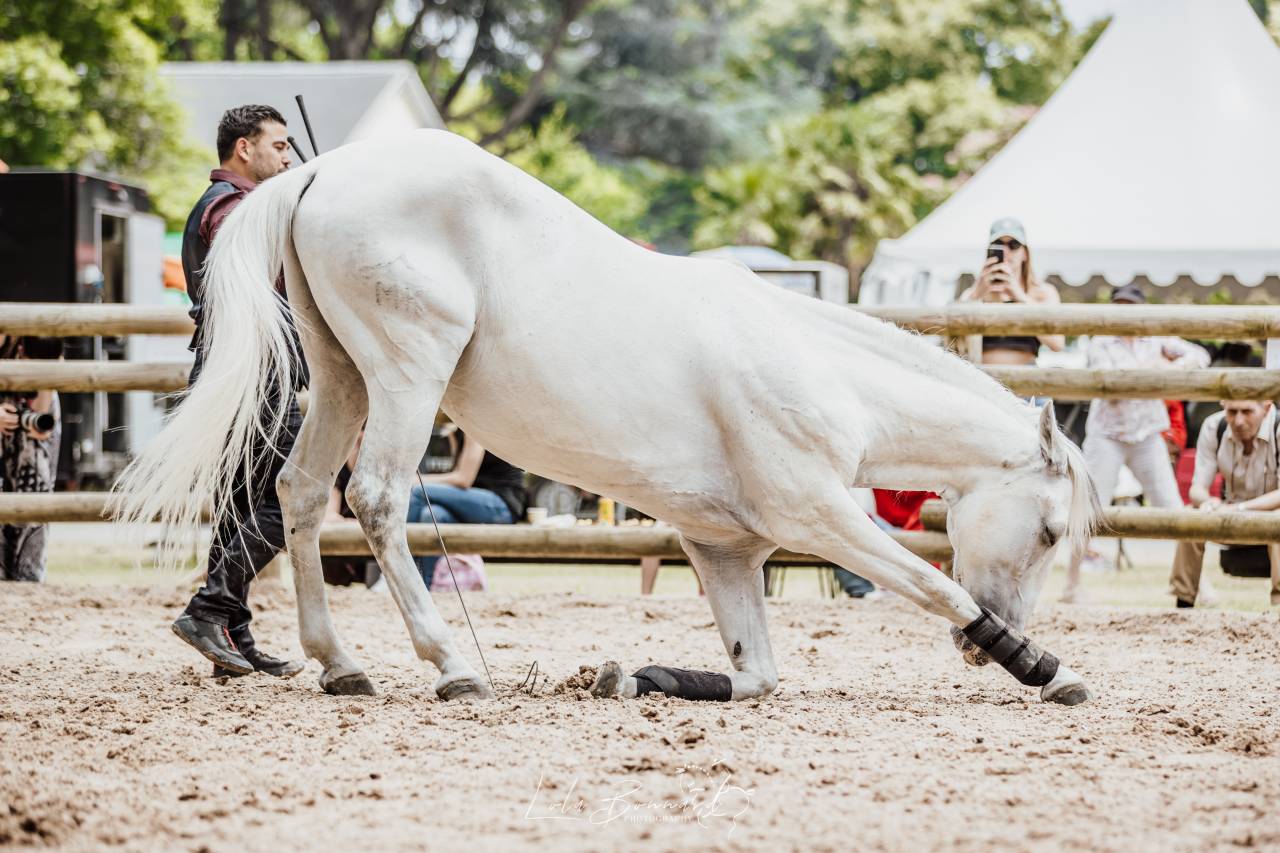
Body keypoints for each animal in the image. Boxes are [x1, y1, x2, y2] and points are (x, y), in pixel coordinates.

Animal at [115, 129, 1099, 706]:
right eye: (1052, 530)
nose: (983, 647)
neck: (825, 373)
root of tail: (323, 169)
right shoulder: (819, 515)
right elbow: (934, 583)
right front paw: (1042, 665)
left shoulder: (725, 550)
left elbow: (755, 675)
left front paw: (639, 674)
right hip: (404, 376)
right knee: (381, 500)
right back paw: (452, 664)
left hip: (341, 375)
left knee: (302, 492)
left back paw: (340, 661)